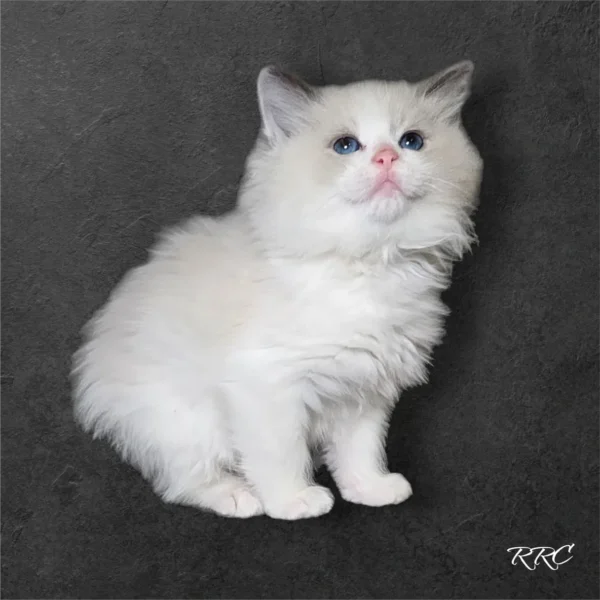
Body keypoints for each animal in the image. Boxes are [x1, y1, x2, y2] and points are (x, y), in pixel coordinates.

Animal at [71, 62, 482, 520]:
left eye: (412, 141)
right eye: (345, 146)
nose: (386, 157)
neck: (370, 260)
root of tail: (95, 366)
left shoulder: (366, 389)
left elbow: (361, 450)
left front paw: (370, 488)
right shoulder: (268, 385)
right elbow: (281, 454)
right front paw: (294, 501)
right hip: (185, 420)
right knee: (183, 481)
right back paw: (238, 497)